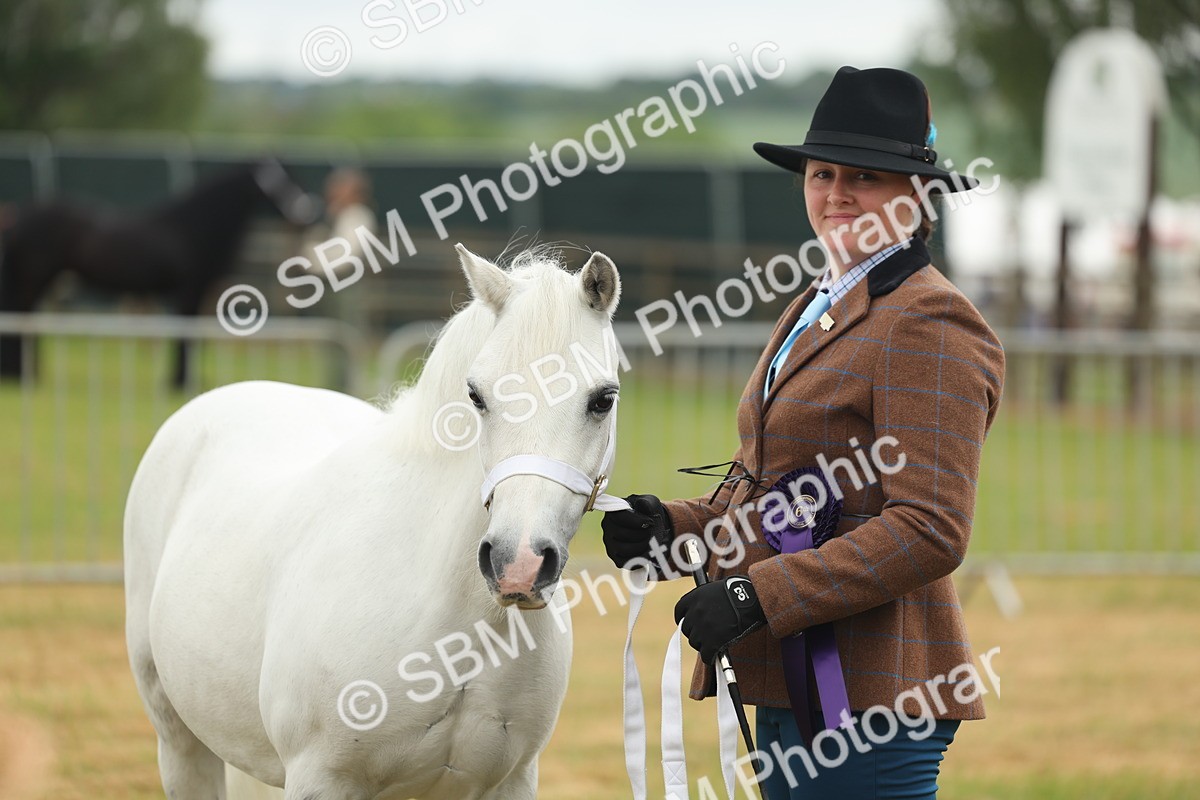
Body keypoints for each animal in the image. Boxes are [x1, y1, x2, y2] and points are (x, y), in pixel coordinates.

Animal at [0, 158, 317, 388]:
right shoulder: (189, 288)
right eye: (278, 182)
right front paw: (179, 381)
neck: (193, 226)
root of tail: (22, 216)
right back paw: (22, 375)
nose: (307, 214)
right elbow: (185, 332)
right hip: (35, 277)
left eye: (293, 176)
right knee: (23, 316)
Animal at [124, 244, 624, 800]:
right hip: (179, 740)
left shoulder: (510, 782)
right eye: (476, 395)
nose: (518, 566)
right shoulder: (320, 779)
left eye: (603, 398)